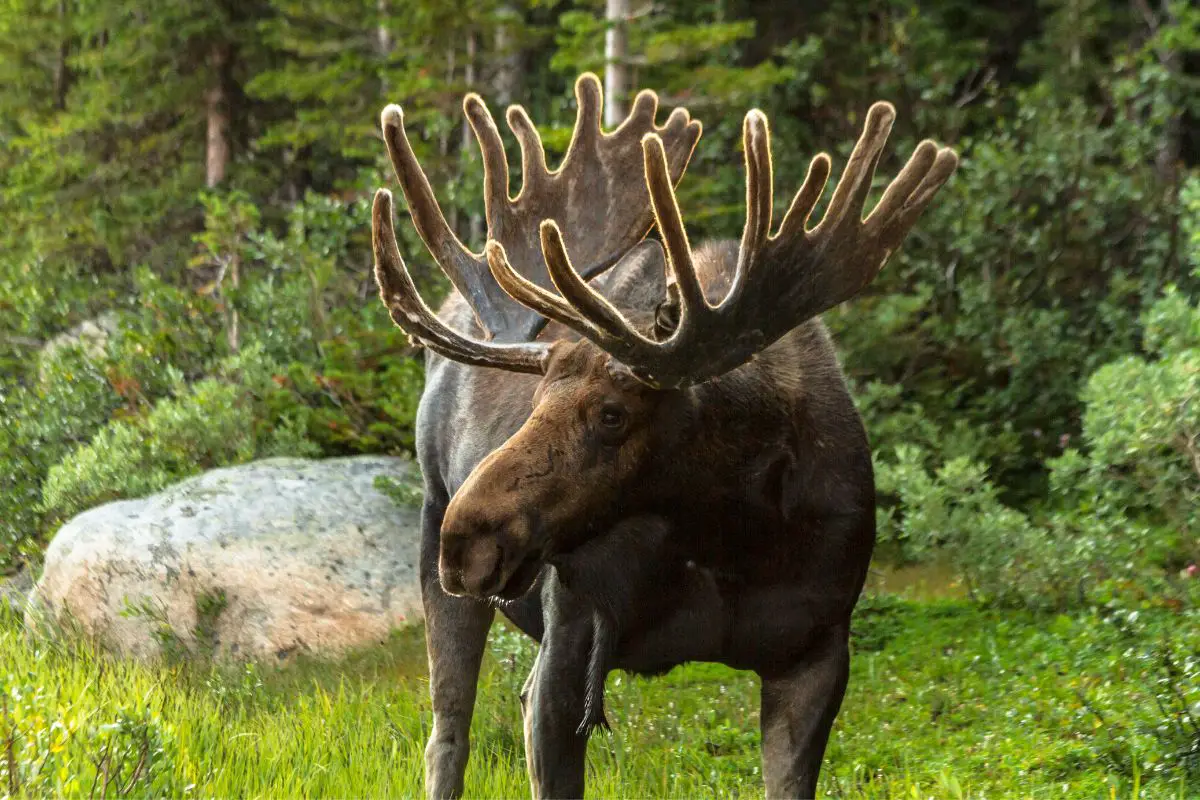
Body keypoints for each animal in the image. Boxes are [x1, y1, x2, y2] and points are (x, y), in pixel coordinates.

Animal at [369, 71, 960, 796]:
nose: (466, 538)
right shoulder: (566, 657)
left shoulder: (818, 653)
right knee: (447, 738)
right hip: (437, 554)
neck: (731, 537)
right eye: (537, 398)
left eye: (613, 414)